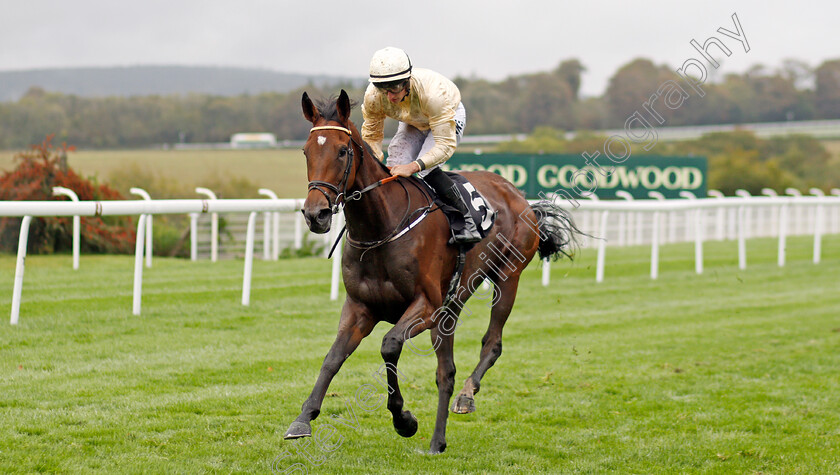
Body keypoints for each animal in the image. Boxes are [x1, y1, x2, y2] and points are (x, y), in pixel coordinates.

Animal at [286, 90, 580, 458]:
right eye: (306, 151)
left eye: (342, 151)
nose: (316, 214)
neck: (381, 227)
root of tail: (517, 195)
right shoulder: (359, 308)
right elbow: (332, 358)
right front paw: (303, 418)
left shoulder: (426, 306)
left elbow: (389, 345)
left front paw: (404, 419)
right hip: (452, 307)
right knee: (446, 371)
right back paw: (438, 440)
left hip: (506, 278)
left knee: (491, 344)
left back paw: (466, 397)